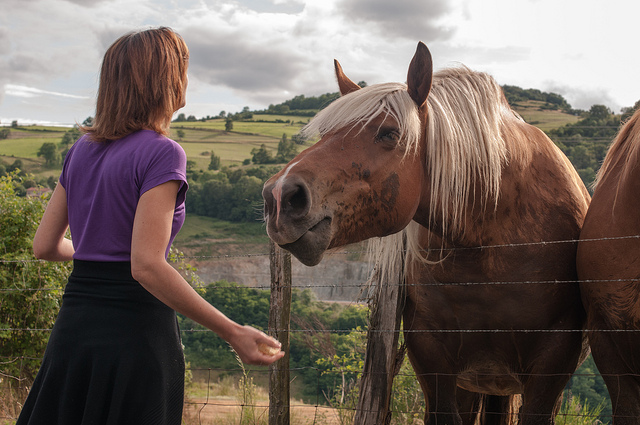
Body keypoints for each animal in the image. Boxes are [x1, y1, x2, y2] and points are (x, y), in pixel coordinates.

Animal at [262, 41, 592, 422]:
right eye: (326, 134)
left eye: (389, 133)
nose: (279, 197)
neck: (491, 239)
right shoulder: (432, 356)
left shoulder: (552, 364)